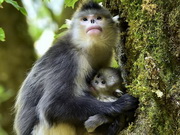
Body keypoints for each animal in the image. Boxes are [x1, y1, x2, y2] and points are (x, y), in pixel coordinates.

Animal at [14, 0, 138, 134]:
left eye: (99, 17)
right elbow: (52, 105)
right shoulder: (67, 59)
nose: (92, 21)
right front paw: (120, 104)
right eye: (85, 19)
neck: (84, 47)